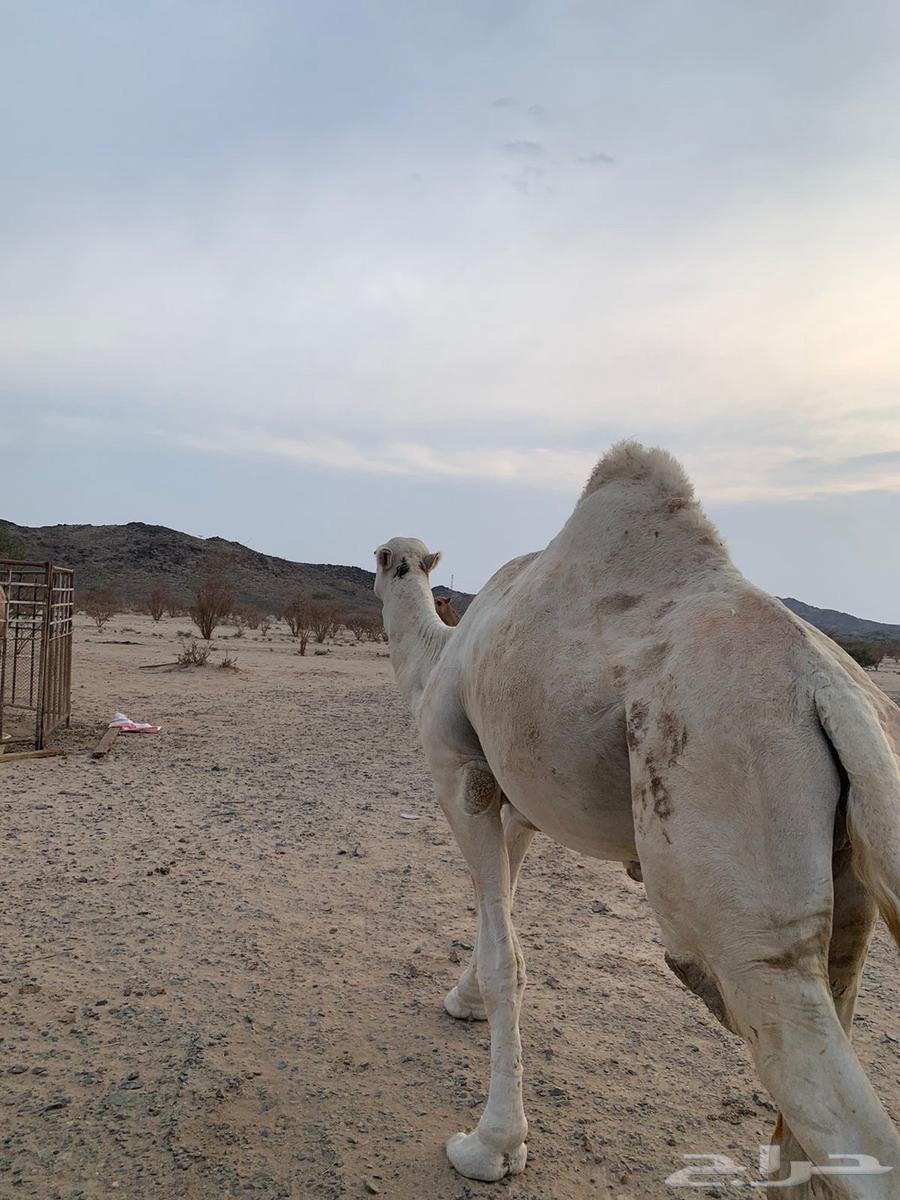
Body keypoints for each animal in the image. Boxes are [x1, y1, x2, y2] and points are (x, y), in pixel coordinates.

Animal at [374, 442, 900, 1198]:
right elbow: (506, 898)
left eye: (382, 558)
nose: (376, 572)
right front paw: (464, 998)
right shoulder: (521, 799)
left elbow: (509, 955)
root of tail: (837, 692)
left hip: (730, 863)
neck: (439, 654)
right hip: (853, 865)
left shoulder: (459, 773)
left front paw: (491, 1147)